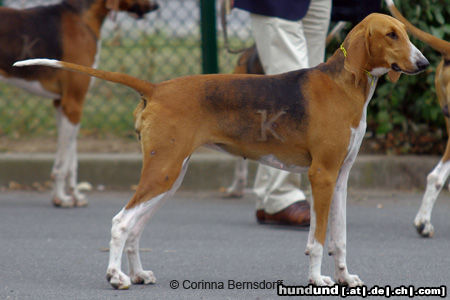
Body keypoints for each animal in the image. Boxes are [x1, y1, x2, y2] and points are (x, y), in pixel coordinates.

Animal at [0, 0, 158, 206]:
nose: (156, 6)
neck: (81, 17)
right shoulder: (74, 104)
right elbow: (64, 163)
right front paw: (61, 198)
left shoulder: (62, 105)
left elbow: (71, 161)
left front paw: (72, 195)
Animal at [14, 13, 428, 288]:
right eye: (391, 35)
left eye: (406, 33)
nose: (424, 62)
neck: (343, 84)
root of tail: (156, 87)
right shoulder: (321, 176)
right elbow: (317, 239)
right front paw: (316, 279)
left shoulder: (340, 179)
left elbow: (338, 239)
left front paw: (344, 277)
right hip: (163, 173)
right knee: (120, 222)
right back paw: (116, 276)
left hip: (170, 177)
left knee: (134, 228)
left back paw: (138, 273)